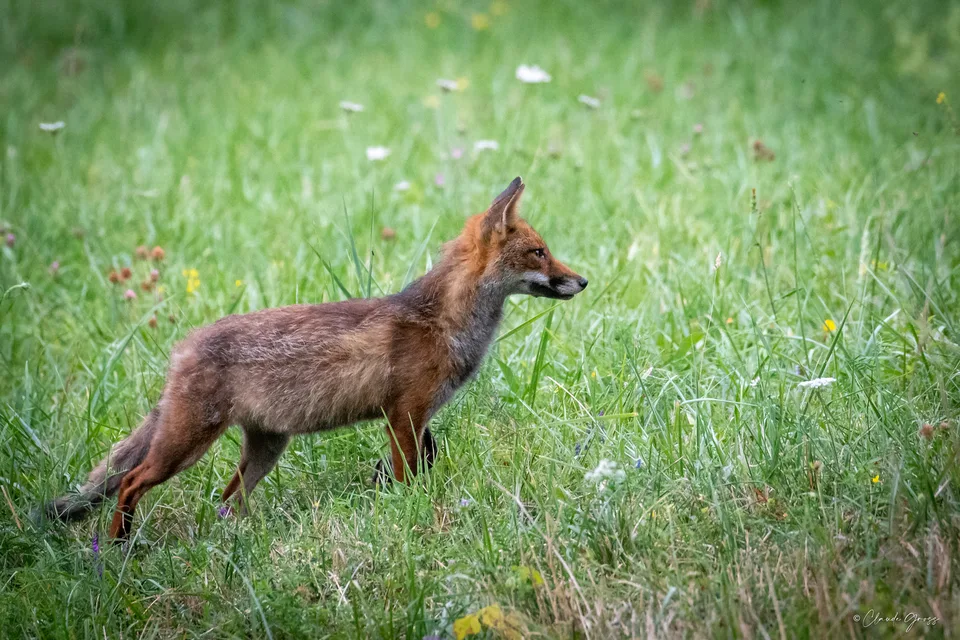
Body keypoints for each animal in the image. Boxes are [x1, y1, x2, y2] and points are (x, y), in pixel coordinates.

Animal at [43, 177, 587, 539]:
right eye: (539, 252)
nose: (582, 281)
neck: (445, 322)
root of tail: (184, 347)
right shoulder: (405, 413)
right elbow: (409, 474)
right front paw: (408, 512)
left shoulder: (417, 417)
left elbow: (423, 462)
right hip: (186, 442)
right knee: (130, 482)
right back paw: (117, 546)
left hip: (265, 448)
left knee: (226, 499)